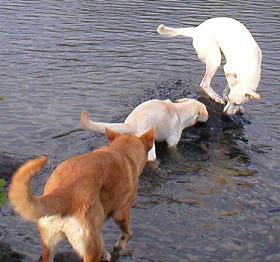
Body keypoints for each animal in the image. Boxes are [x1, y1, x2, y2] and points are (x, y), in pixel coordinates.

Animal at [8, 128, 155, 260]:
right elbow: (128, 233)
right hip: (90, 248)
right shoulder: (121, 212)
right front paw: (119, 247)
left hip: (50, 245)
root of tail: (64, 193)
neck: (122, 151)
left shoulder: (97, 231)